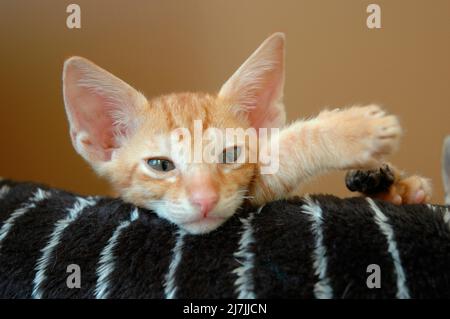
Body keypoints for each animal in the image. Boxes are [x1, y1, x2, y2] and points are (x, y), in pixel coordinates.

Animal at [61, 33, 430, 235]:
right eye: (160, 165)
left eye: (230, 155)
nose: (205, 199)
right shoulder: (253, 195)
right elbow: (287, 150)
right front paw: (356, 129)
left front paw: (395, 187)